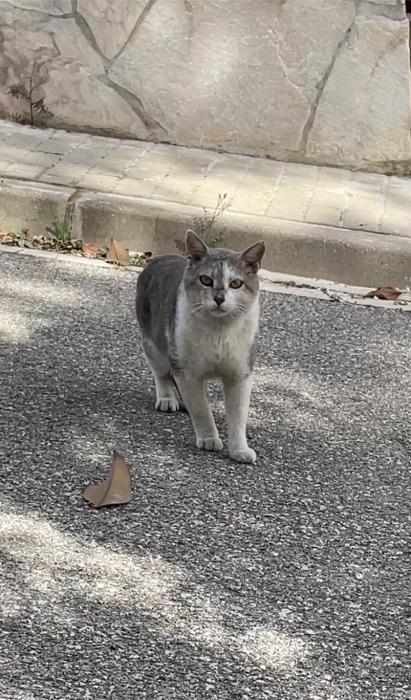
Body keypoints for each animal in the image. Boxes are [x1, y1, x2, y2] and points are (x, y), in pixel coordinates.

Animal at [137, 231, 266, 464]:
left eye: (236, 283)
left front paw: (240, 449)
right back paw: (167, 399)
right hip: (154, 347)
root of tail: (159, 258)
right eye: (206, 280)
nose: (219, 298)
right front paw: (208, 439)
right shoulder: (187, 372)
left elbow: (238, 415)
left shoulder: (240, 374)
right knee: (162, 375)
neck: (219, 332)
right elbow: (201, 409)